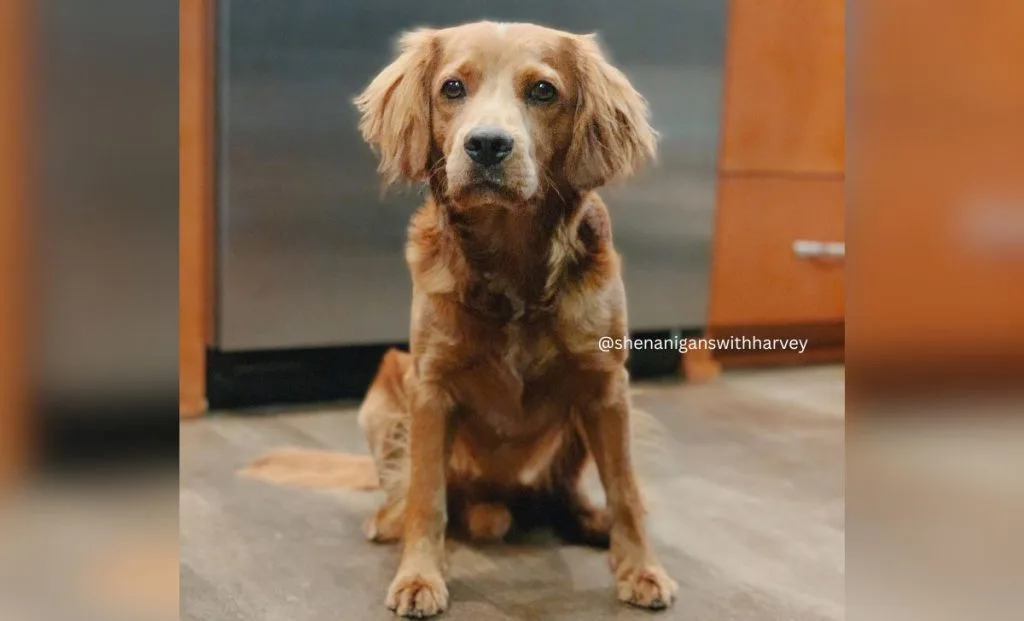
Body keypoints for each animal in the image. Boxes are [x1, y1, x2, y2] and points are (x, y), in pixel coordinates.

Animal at [356, 19, 675, 618]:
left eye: (543, 91)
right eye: (453, 87)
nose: (486, 144)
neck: (512, 267)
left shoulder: (607, 387)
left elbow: (626, 489)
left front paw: (641, 568)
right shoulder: (430, 387)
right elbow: (426, 495)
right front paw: (419, 575)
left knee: (564, 492)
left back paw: (589, 521)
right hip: (388, 386)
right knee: (413, 493)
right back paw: (389, 522)